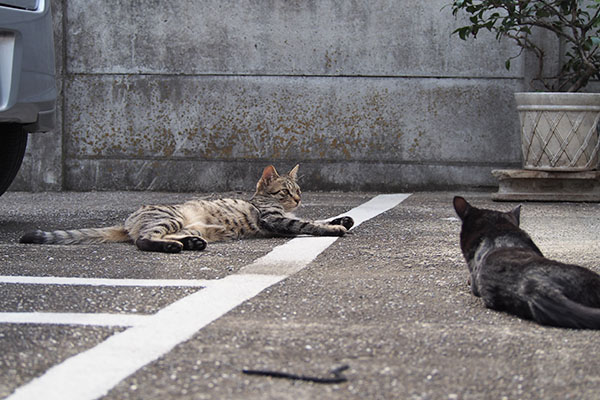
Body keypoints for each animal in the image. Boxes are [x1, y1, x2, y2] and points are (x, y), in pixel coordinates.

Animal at [21, 165, 354, 253]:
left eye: (299, 191)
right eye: (285, 192)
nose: (297, 200)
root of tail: (129, 219)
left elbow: (316, 216)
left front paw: (344, 218)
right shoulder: (275, 220)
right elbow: (309, 224)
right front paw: (335, 227)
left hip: (182, 224)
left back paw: (192, 243)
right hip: (170, 218)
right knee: (143, 240)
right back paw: (174, 247)